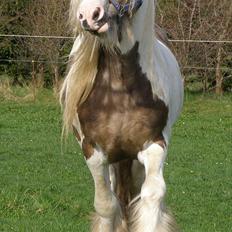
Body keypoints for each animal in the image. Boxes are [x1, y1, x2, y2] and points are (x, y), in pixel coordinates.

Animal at [59, 0, 183, 232]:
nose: (88, 15)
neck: (119, 85)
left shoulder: (155, 145)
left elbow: (151, 196)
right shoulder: (93, 151)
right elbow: (106, 205)